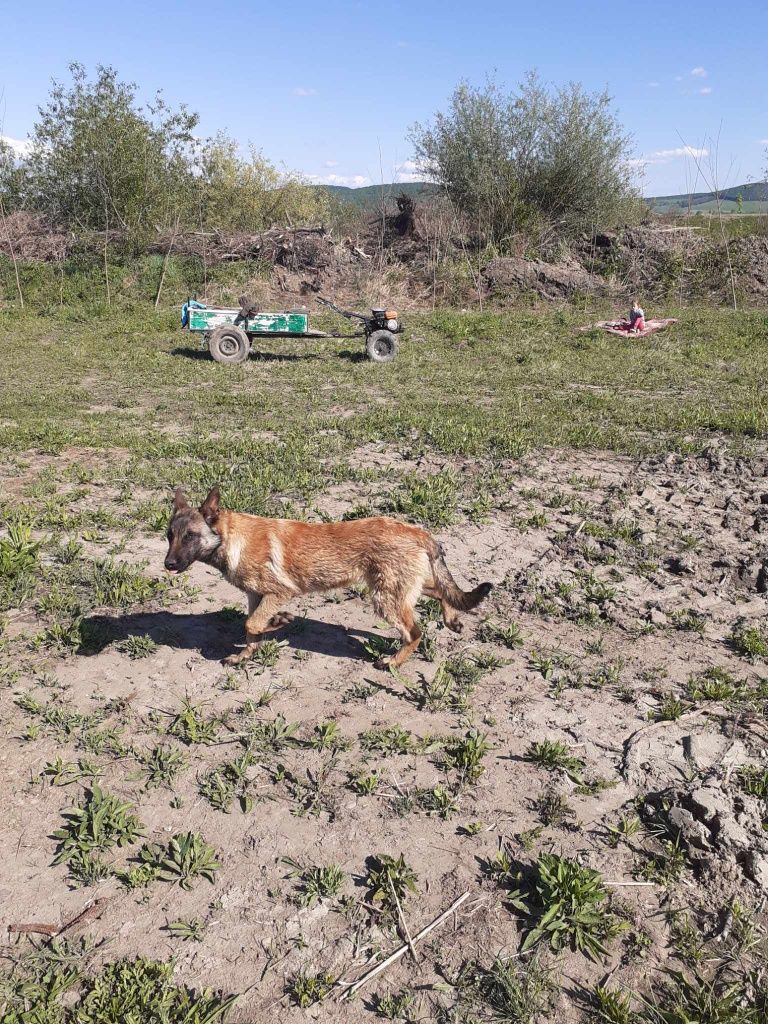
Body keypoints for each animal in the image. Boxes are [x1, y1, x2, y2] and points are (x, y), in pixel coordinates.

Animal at [165, 489, 495, 671]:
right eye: (169, 536)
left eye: (190, 536)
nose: (167, 564)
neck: (230, 538)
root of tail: (417, 531)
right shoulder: (255, 595)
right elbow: (251, 627)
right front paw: (247, 653)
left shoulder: (279, 592)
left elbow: (252, 623)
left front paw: (274, 624)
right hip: (400, 587)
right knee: (441, 592)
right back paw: (452, 619)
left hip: (386, 598)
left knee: (414, 632)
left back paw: (393, 662)